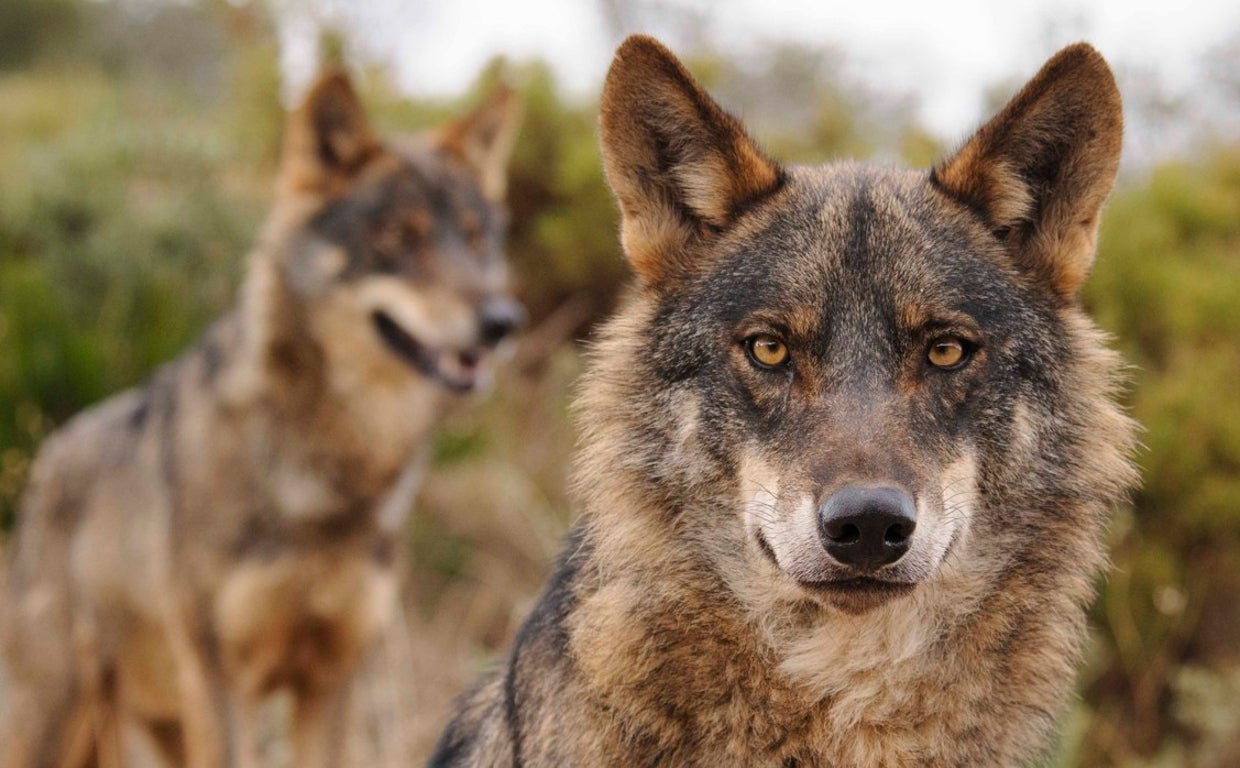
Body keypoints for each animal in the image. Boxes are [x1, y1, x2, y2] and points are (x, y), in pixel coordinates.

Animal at [0, 71, 521, 767]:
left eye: (475, 238)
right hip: (63, 718)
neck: (329, 478)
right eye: (397, 238)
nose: (502, 322)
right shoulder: (222, 680)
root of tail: (48, 455)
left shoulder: (331, 680)